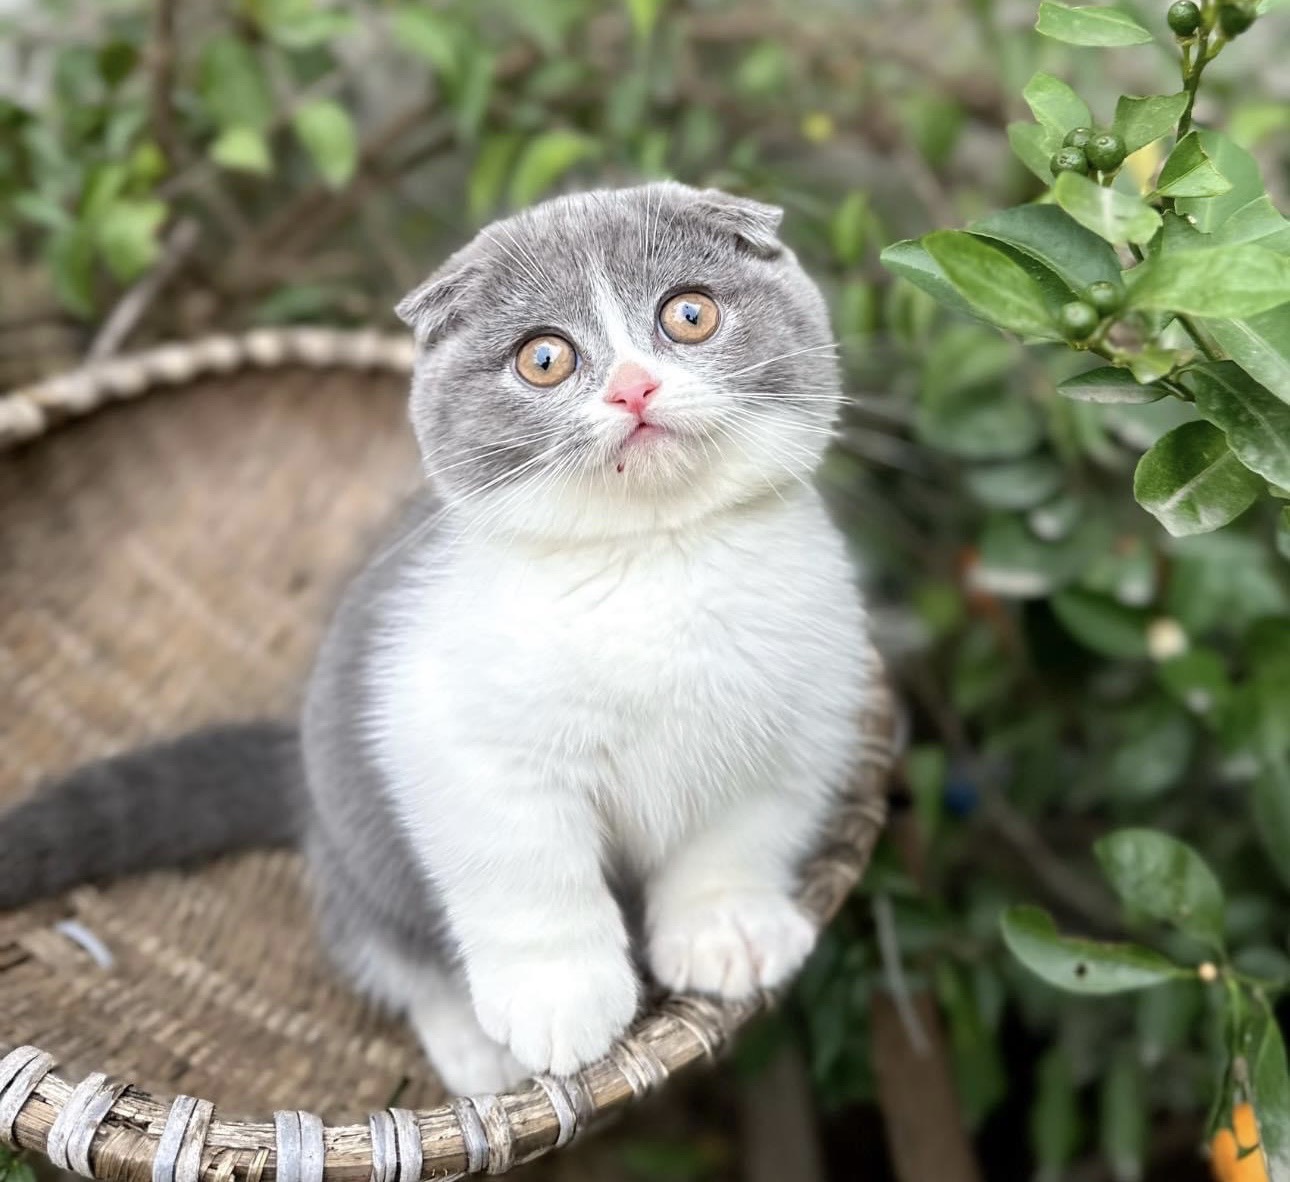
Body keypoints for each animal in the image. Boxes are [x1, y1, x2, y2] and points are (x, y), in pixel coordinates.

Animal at [0, 180, 877, 1094]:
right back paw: (474, 1047)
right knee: (386, 951)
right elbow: (525, 866)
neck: (653, 559)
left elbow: (742, 834)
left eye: (691, 315)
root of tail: (302, 779)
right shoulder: (453, 736)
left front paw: (727, 930)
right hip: (362, 853)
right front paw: (559, 997)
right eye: (544, 359)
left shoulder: (804, 715)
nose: (633, 388)